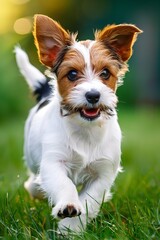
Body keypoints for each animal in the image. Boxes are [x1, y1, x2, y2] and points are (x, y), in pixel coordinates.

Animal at [14, 14, 142, 232]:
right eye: (72, 74)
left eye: (105, 73)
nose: (93, 95)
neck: (85, 130)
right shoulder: (54, 162)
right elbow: (63, 184)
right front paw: (68, 205)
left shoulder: (104, 173)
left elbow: (89, 200)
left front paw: (70, 228)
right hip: (31, 157)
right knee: (33, 182)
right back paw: (36, 188)